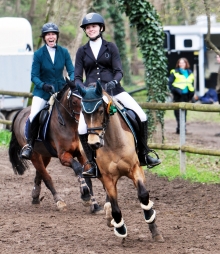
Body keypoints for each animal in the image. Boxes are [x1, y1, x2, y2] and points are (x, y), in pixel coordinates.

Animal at [8, 83, 101, 212]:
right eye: (74, 102)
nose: (85, 125)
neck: (70, 125)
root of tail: (21, 113)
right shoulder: (63, 156)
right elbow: (78, 168)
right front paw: (85, 195)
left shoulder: (81, 154)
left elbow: (87, 175)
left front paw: (94, 204)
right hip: (34, 155)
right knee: (46, 178)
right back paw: (59, 201)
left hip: (45, 155)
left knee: (39, 174)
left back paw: (35, 197)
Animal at [78, 82, 164, 241]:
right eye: (84, 113)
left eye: (100, 110)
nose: (93, 144)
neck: (113, 142)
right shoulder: (108, 178)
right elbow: (116, 208)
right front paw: (120, 229)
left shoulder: (136, 168)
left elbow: (144, 196)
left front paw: (154, 228)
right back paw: (110, 218)